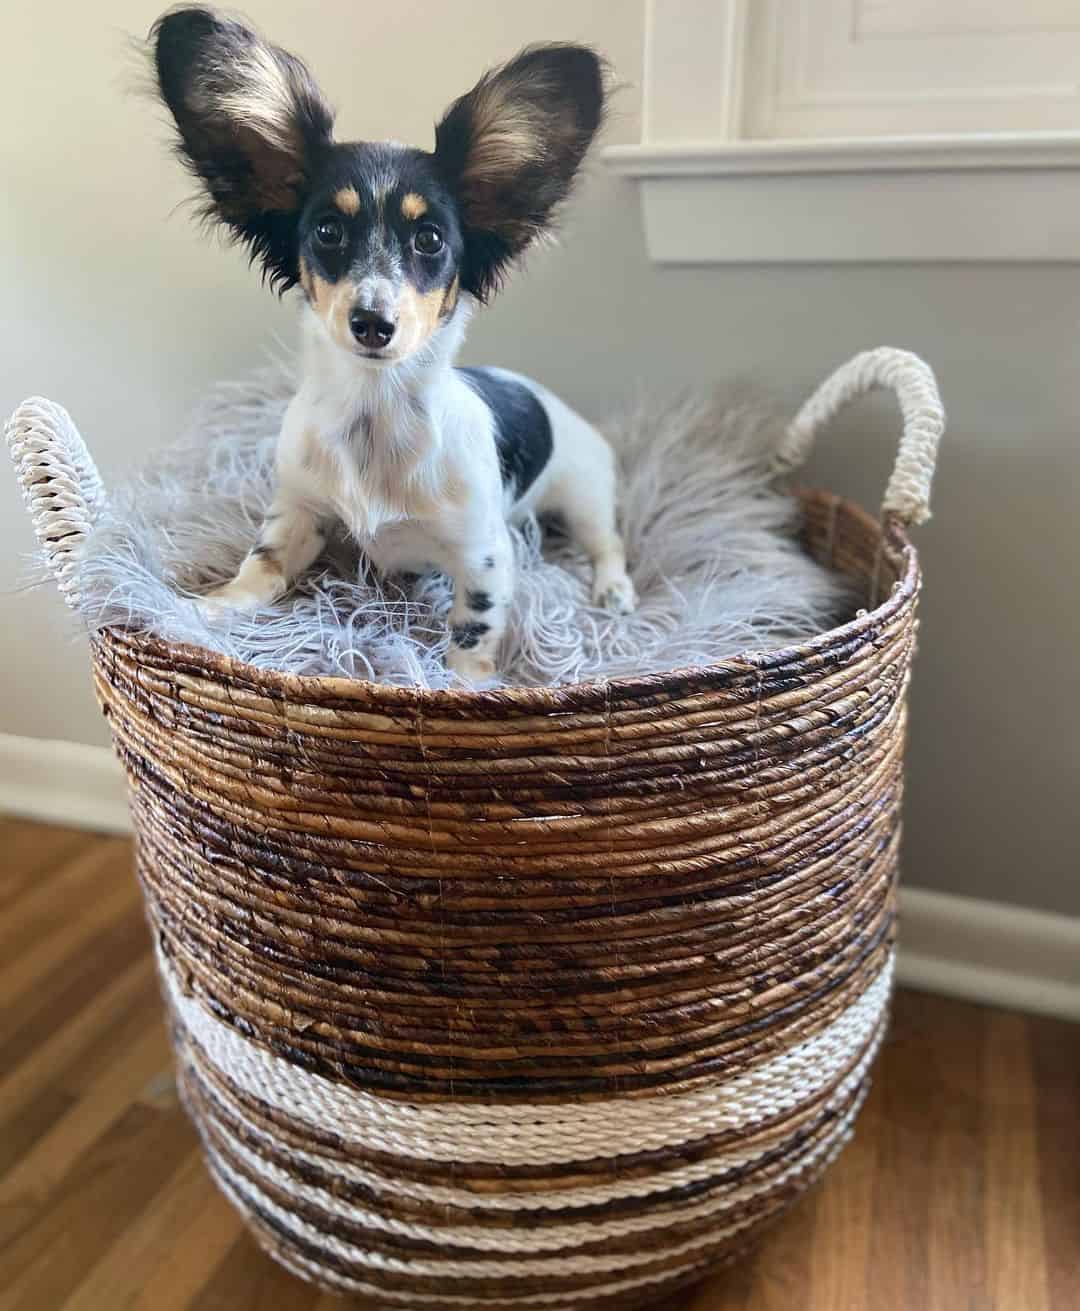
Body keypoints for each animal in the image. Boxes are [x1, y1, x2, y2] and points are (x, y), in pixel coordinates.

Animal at [148, 7, 636, 686]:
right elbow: (261, 566)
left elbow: (474, 627)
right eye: (328, 231)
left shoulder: (484, 555)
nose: (372, 322)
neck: (374, 416)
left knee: (608, 543)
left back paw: (614, 589)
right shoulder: (296, 513)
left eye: (430, 239)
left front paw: (465, 683)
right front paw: (209, 608)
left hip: (584, 492)